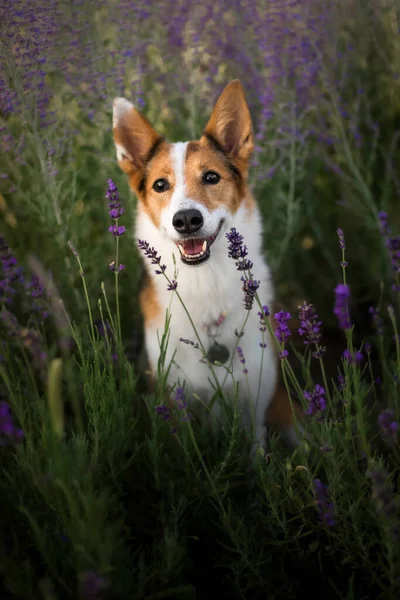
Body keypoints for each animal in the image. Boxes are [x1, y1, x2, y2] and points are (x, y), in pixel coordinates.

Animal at [111, 81, 300, 454]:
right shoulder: (173, 402)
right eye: (160, 185)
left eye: (212, 177)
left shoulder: (255, 408)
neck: (204, 282)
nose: (186, 220)